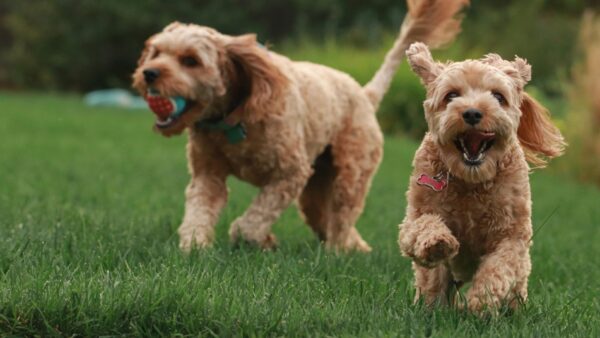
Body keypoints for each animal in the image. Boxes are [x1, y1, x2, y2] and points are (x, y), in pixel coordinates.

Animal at [131, 0, 468, 254]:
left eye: (190, 61)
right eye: (157, 52)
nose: (148, 73)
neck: (234, 119)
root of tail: (364, 93)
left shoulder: (289, 173)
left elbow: (253, 220)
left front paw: (253, 237)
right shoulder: (207, 174)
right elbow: (199, 209)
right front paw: (194, 245)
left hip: (351, 172)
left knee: (342, 215)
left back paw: (338, 250)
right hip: (316, 187)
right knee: (326, 217)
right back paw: (354, 246)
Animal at [398, 43, 568, 314]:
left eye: (498, 97)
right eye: (451, 96)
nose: (472, 113)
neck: (471, 180)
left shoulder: (512, 235)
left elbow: (499, 267)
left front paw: (481, 302)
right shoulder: (414, 216)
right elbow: (423, 226)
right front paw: (438, 242)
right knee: (433, 283)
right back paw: (431, 307)